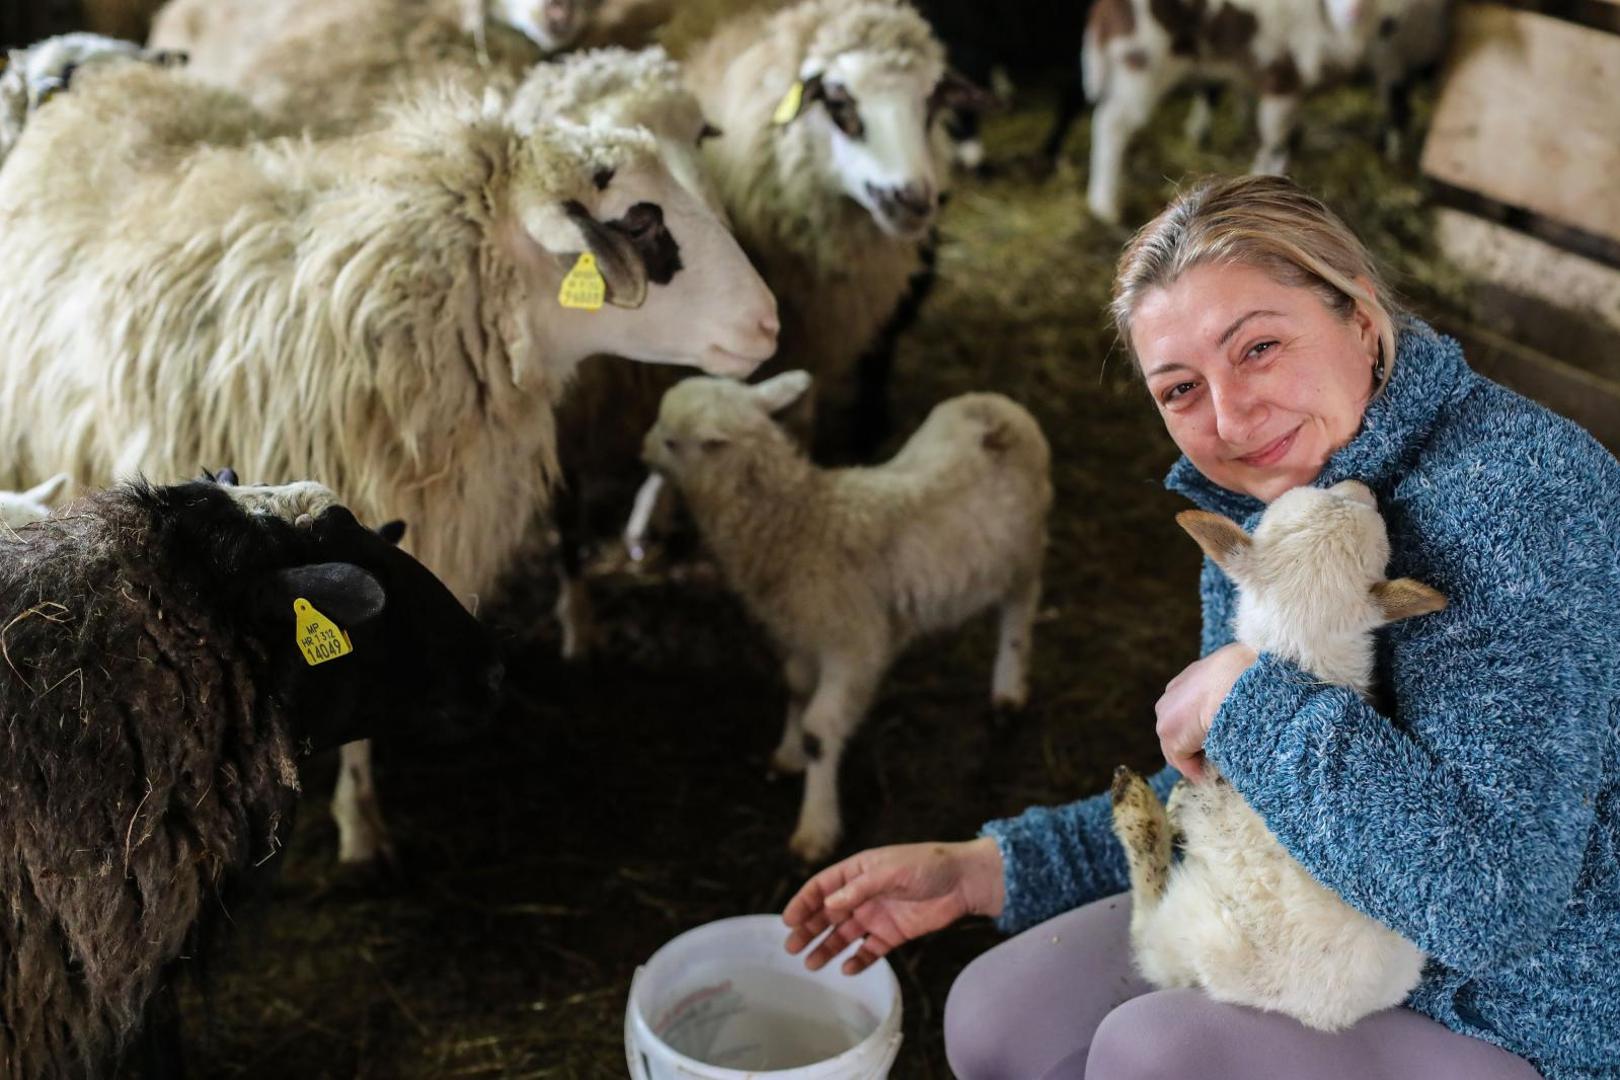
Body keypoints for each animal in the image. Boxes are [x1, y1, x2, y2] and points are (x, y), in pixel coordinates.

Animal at [638, 372, 1056, 861]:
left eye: (670, 439)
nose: (642, 451)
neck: (797, 522)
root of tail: (995, 409)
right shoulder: (801, 633)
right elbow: (796, 688)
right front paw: (788, 754)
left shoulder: (854, 645)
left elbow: (820, 730)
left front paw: (816, 828)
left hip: (1024, 550)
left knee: (1019, 609)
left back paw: (1008, 688)